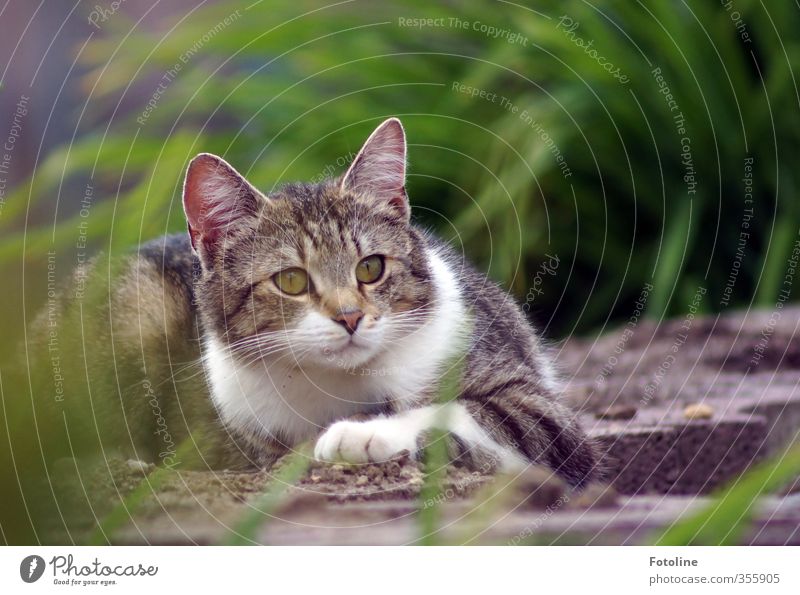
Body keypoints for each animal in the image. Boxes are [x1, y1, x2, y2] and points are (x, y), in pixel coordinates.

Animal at [39, 116, 600, 488]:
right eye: (290, 280)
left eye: (371, 268)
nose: (350, 317)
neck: (337, 381)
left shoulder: (537, 409)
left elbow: (463, 410)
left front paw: (360, 435)